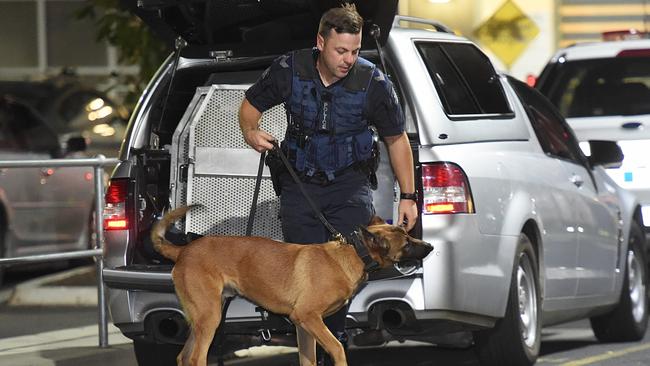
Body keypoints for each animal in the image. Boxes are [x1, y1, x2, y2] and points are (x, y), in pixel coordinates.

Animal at [151, 206, 432, 366]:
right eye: (407, 242)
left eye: (408, 235)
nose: (429, 246)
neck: (353, 254)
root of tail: (183, 251)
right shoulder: (308, 317)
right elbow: (338, 349)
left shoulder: (304, 327)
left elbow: (308, 361)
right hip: (210, 318)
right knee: (196, 358)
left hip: (204, 317)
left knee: (183, 357)